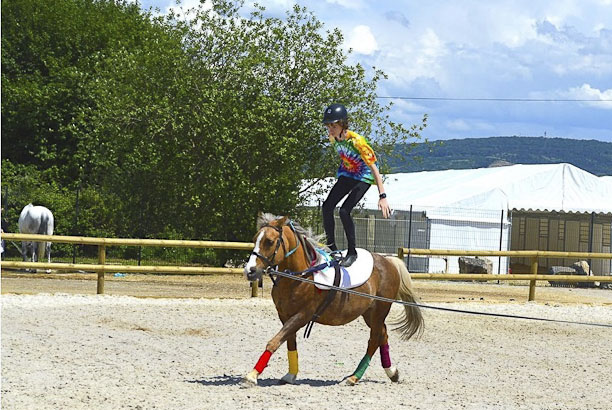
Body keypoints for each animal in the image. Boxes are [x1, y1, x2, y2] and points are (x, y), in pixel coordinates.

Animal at [241, 213, 424, 386]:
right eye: (254, 240)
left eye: (269, 241)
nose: (250, 270)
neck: (300, 277)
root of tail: (388, 261)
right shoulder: (284, 315)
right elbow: (289, 342)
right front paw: (290, 375)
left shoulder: (303, 315)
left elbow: (274, 342)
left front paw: (252, 375)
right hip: (369, 314)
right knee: (383, 335)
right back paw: (392, 372)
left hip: (380, 310)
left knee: (374, 340)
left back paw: (354, 377)